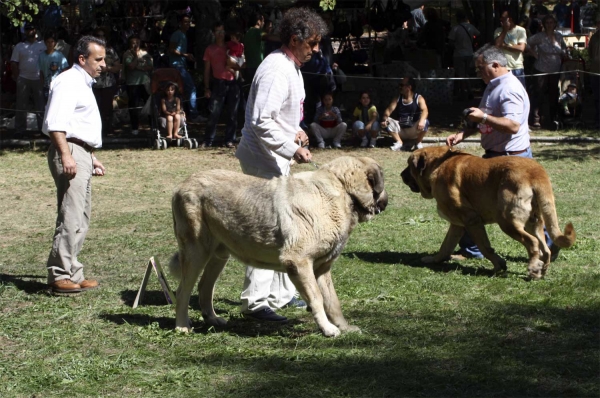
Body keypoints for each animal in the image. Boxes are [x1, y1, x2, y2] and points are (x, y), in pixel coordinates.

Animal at [169, 155, 390, 336]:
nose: (387, 202)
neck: (342, 189)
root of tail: (180, 186)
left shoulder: (321, 268)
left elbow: (332, 301)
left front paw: (343, 327)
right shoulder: (299, 262)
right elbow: (317, 299)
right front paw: (328, 329)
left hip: (219, 255)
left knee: (204, 287)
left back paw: (213, 319)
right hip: (196, 251)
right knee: (182, 291)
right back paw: (182, 326)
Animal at [400, 146, 576, 280]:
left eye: (409, 165)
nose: (401, 175)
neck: (437, 166)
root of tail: (536, 172)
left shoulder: (472, 220)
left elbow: (485, 247)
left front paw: (498, 265)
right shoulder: (457, 225)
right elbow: (445, 246)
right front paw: (434, 260)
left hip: (507, 222)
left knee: (532, 243)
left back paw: (532, 268)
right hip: (534, 222)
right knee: (545, 249)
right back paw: (541, 271)